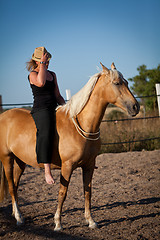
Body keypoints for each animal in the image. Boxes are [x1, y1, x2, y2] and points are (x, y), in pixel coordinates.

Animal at [0, 62, 139, 230]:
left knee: (14, 185)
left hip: (20, 162)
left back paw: (17, 214)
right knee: (11, 187)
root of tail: (3, 116)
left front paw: (91, 221)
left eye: (126, 82)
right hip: (7, 159)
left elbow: (87, 191)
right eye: (117, 83)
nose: (135, 107)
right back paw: (19, 218)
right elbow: (63, 193)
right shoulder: (67, 166)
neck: (82, 125)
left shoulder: (89, 165)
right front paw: (58, 223)